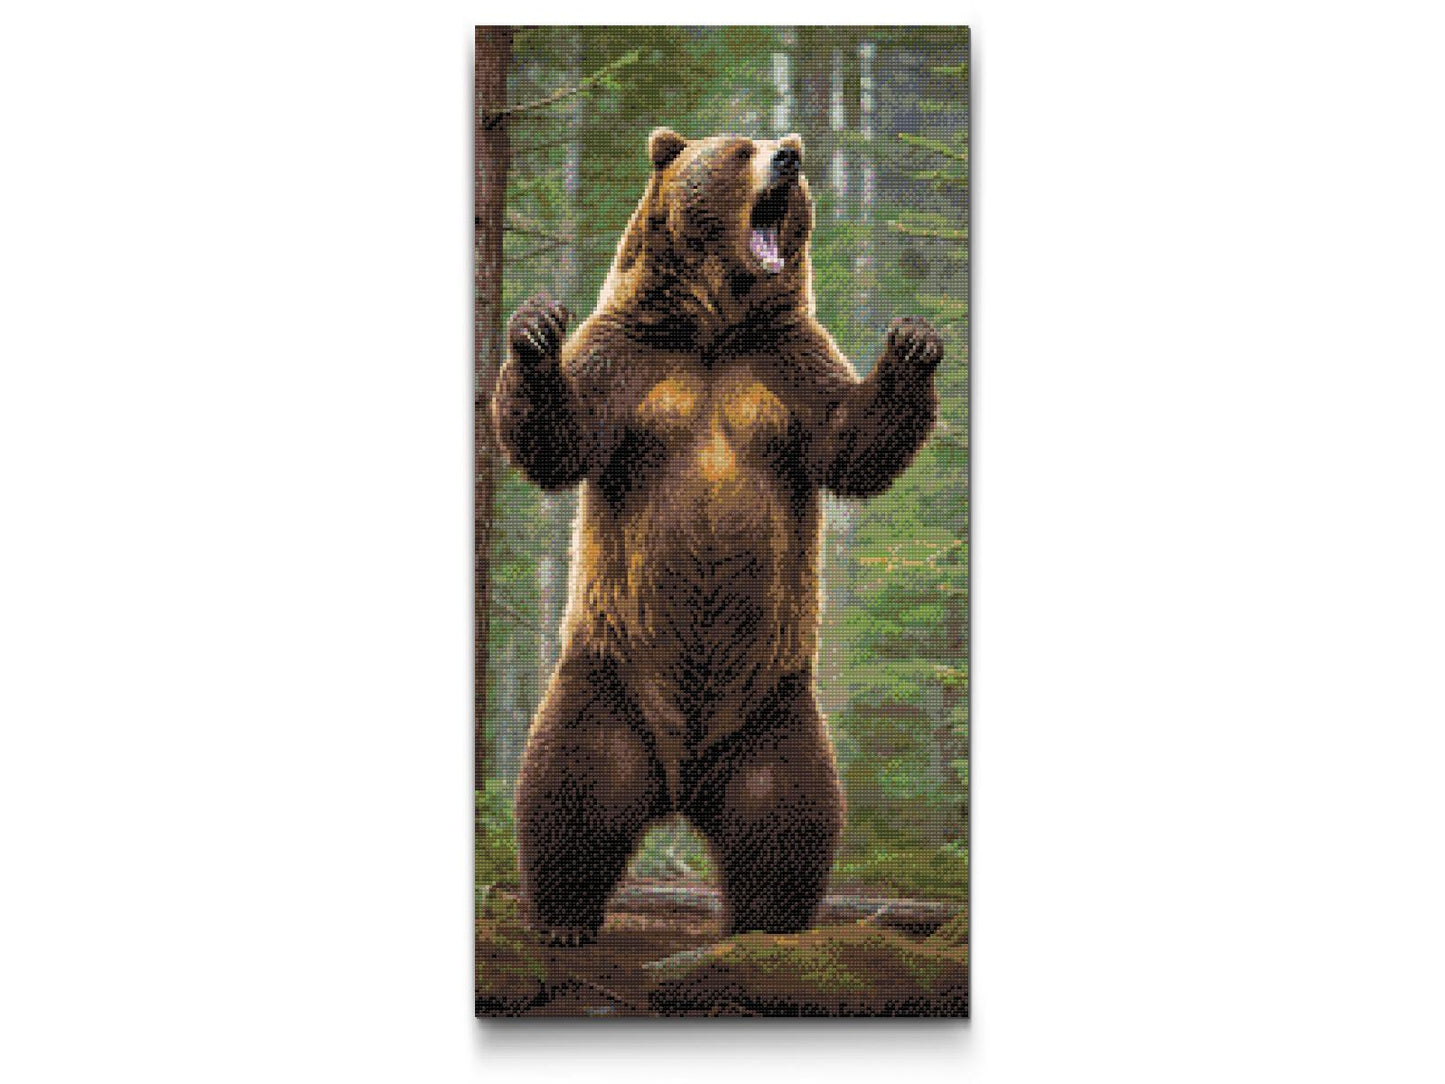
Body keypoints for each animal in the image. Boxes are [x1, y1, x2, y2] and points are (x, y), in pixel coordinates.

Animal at [491, 127, 944, 944]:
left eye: (784, 143)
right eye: (740, 150)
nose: (790, 158)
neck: (711, 328)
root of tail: (681, 784)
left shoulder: (784, 366)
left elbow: (850, 441)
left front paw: (912, 341)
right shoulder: (632, 359)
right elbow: (564, 435)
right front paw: (535, 331)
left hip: (773, 714)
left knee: (788, 818)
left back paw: (769, 926)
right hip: (608, 680)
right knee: (570, 789)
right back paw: (565, 918)